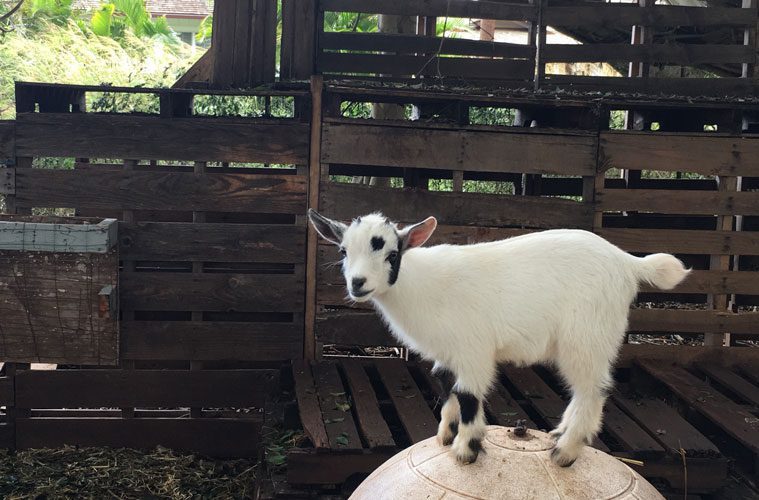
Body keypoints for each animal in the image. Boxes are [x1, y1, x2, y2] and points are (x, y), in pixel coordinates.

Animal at [308, 210, 688, 464]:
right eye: (343, 251)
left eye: (391, 254)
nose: (358, 283)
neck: (423, 286)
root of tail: (628, 263)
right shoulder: (449, 353)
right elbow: (446, 386)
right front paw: (447, 433)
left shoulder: (473, 350)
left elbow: (468, 395)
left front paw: (466, 449)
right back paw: (559, 433)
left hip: (588, 334)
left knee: (593, 389)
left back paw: (566, 450)